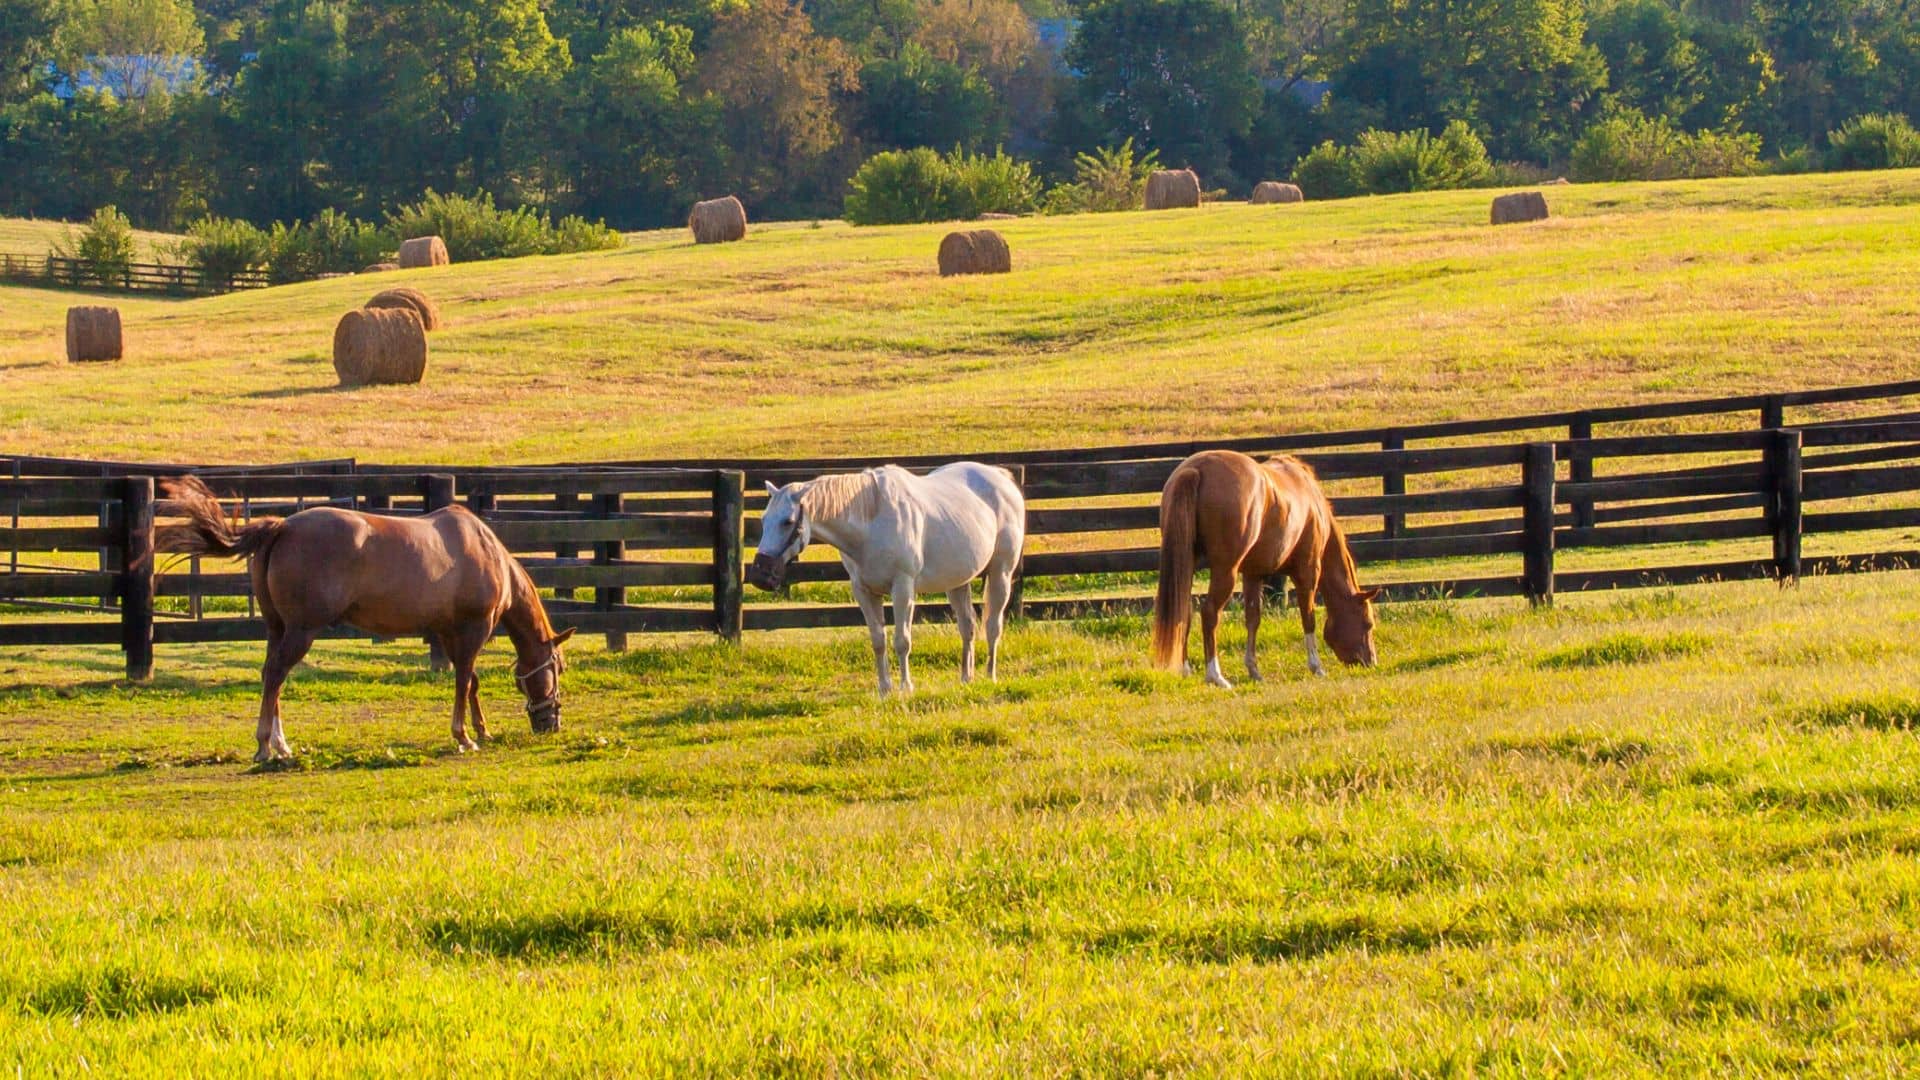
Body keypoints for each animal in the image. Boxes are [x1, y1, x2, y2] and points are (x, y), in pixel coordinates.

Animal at [158, 476, 574, 762]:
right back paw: (264, 746)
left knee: (269, 676)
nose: (551, 724)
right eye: (558, 667)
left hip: (277, 628)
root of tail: (283, 527)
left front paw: (481, 732)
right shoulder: (472, 631)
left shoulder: (449, 633)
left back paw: (281, 744)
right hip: (301, 631)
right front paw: (463, 736)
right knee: (276, 675)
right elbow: (464, 682)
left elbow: (469, 682)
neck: (486, 552)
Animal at [746, 463, 1024, 695]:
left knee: (993, 626)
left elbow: (902, 641)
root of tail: (1001, 478)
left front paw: (906, 687)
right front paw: (884, 688)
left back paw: (990, 676)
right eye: (763, 519)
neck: (871, 522)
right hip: (957, 583)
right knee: (967, 627)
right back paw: (966, 678)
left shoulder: (902, 588)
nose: (761, 574)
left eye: (788, 521)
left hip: (1001, 573)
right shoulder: (864, 592)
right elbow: (878, 641)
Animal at [1151, 450, 1380, 687]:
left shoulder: (1253, 573)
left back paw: (1186, 669)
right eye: (1368, 624)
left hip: (1188, 565)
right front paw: (1316, 667)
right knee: (1209, 613)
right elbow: (1308, 618)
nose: (1371, 662)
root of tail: (1196, 468)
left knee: (1184, 611)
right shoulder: (1308, 572)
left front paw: (1254, 670)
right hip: (1225, 571)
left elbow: (1253, 619)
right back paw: (1216, 675)